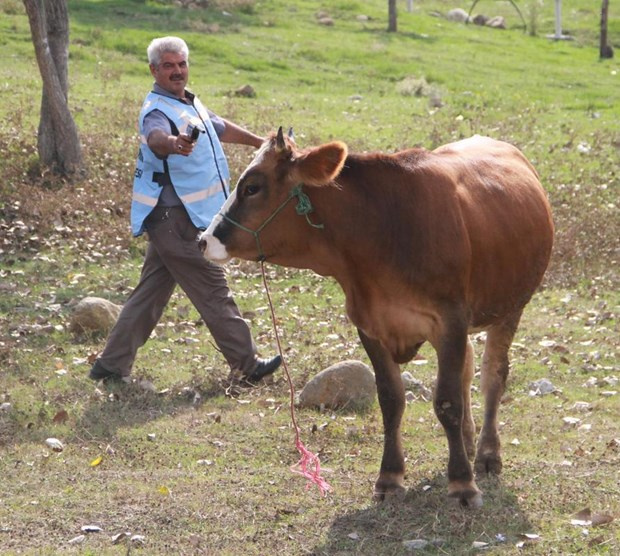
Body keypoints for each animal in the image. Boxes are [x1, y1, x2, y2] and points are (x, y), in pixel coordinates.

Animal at [201, 127, 556, 508]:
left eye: (252, 187)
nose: (204, 240)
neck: (381, 230)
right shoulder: (370, 326)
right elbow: (391, 400)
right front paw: (389, 477)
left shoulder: (450, 322)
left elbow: (447, 402)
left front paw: (462, 482)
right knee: (467, 372)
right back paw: (467, 440)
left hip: (510, 307)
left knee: (492, 376)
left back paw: (488, 454)